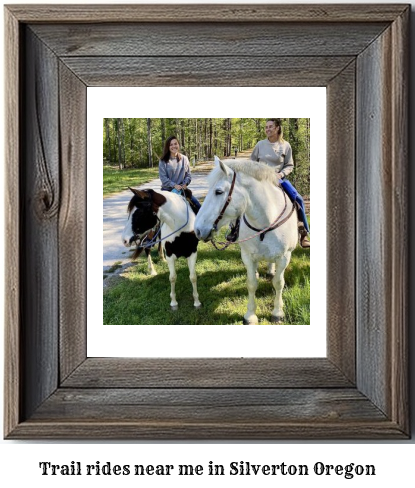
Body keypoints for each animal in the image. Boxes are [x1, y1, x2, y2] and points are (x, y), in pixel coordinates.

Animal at [195, 157, 300, 324]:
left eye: (218, 191)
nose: (198, 230)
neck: (266, 222)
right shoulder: (248, 256)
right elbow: (251, 284)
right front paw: (250, 315)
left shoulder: (284, 257)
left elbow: (279, 283)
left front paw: (278, 312)